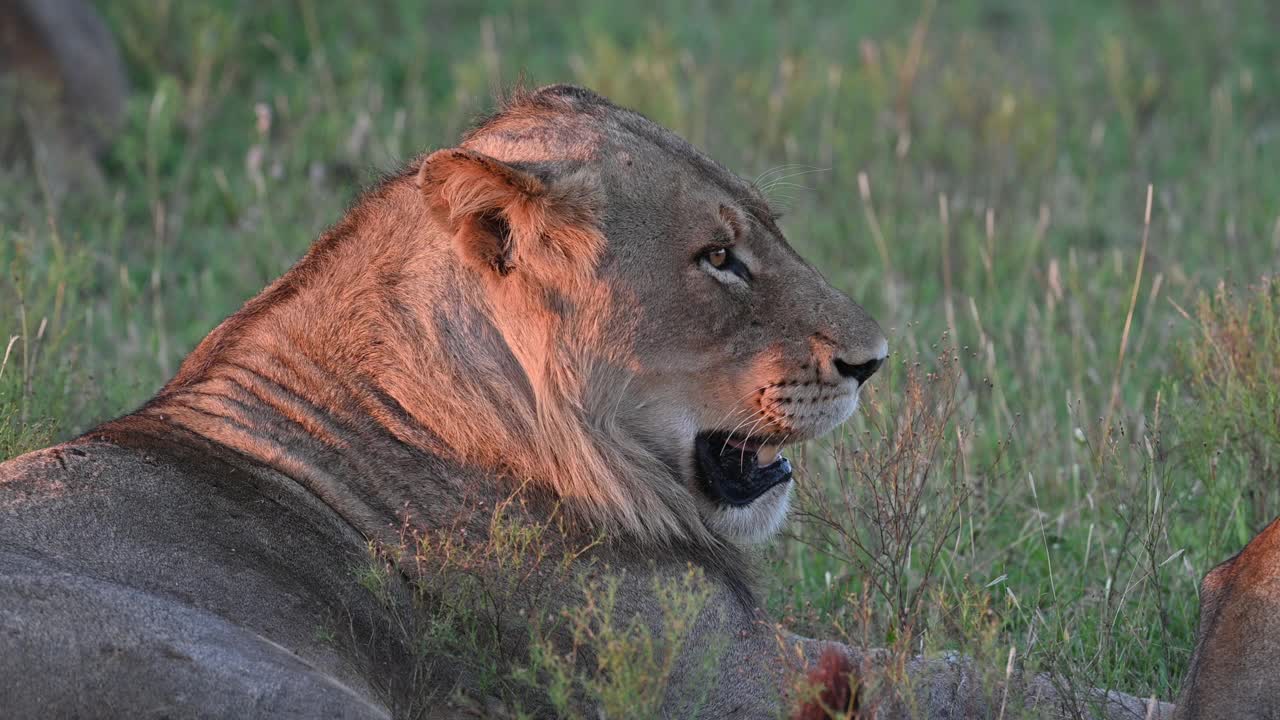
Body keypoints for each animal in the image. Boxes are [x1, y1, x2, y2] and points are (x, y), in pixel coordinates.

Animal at [0, 82, 1172, 712]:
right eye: (716, 259)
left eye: (767, 230)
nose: (871, 362)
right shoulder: (722, 687)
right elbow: (987, 688)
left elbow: (974, 667)